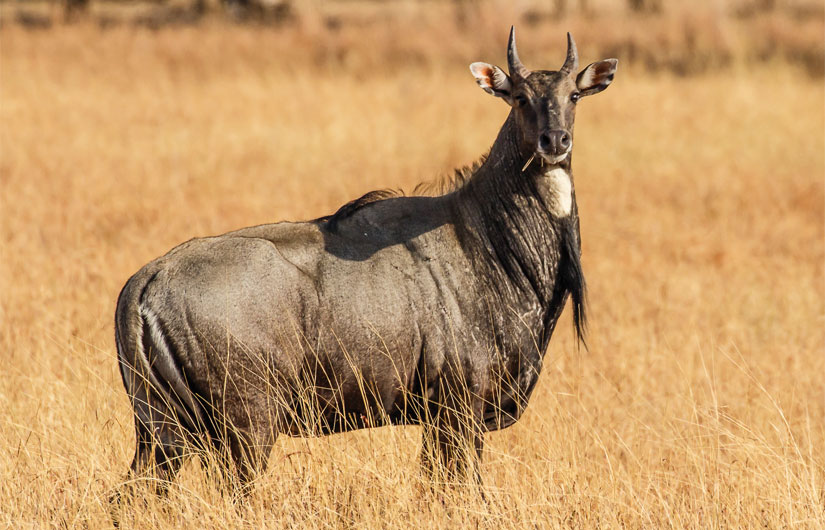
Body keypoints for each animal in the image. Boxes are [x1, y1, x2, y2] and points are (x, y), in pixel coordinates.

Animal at [112, 26, 616, 492]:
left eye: (573, 95)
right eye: (519, 98)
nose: (555, 141)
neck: (486, 238)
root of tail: (145, 281)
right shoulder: (458, 409)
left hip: (162, 433)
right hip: (246, 427)